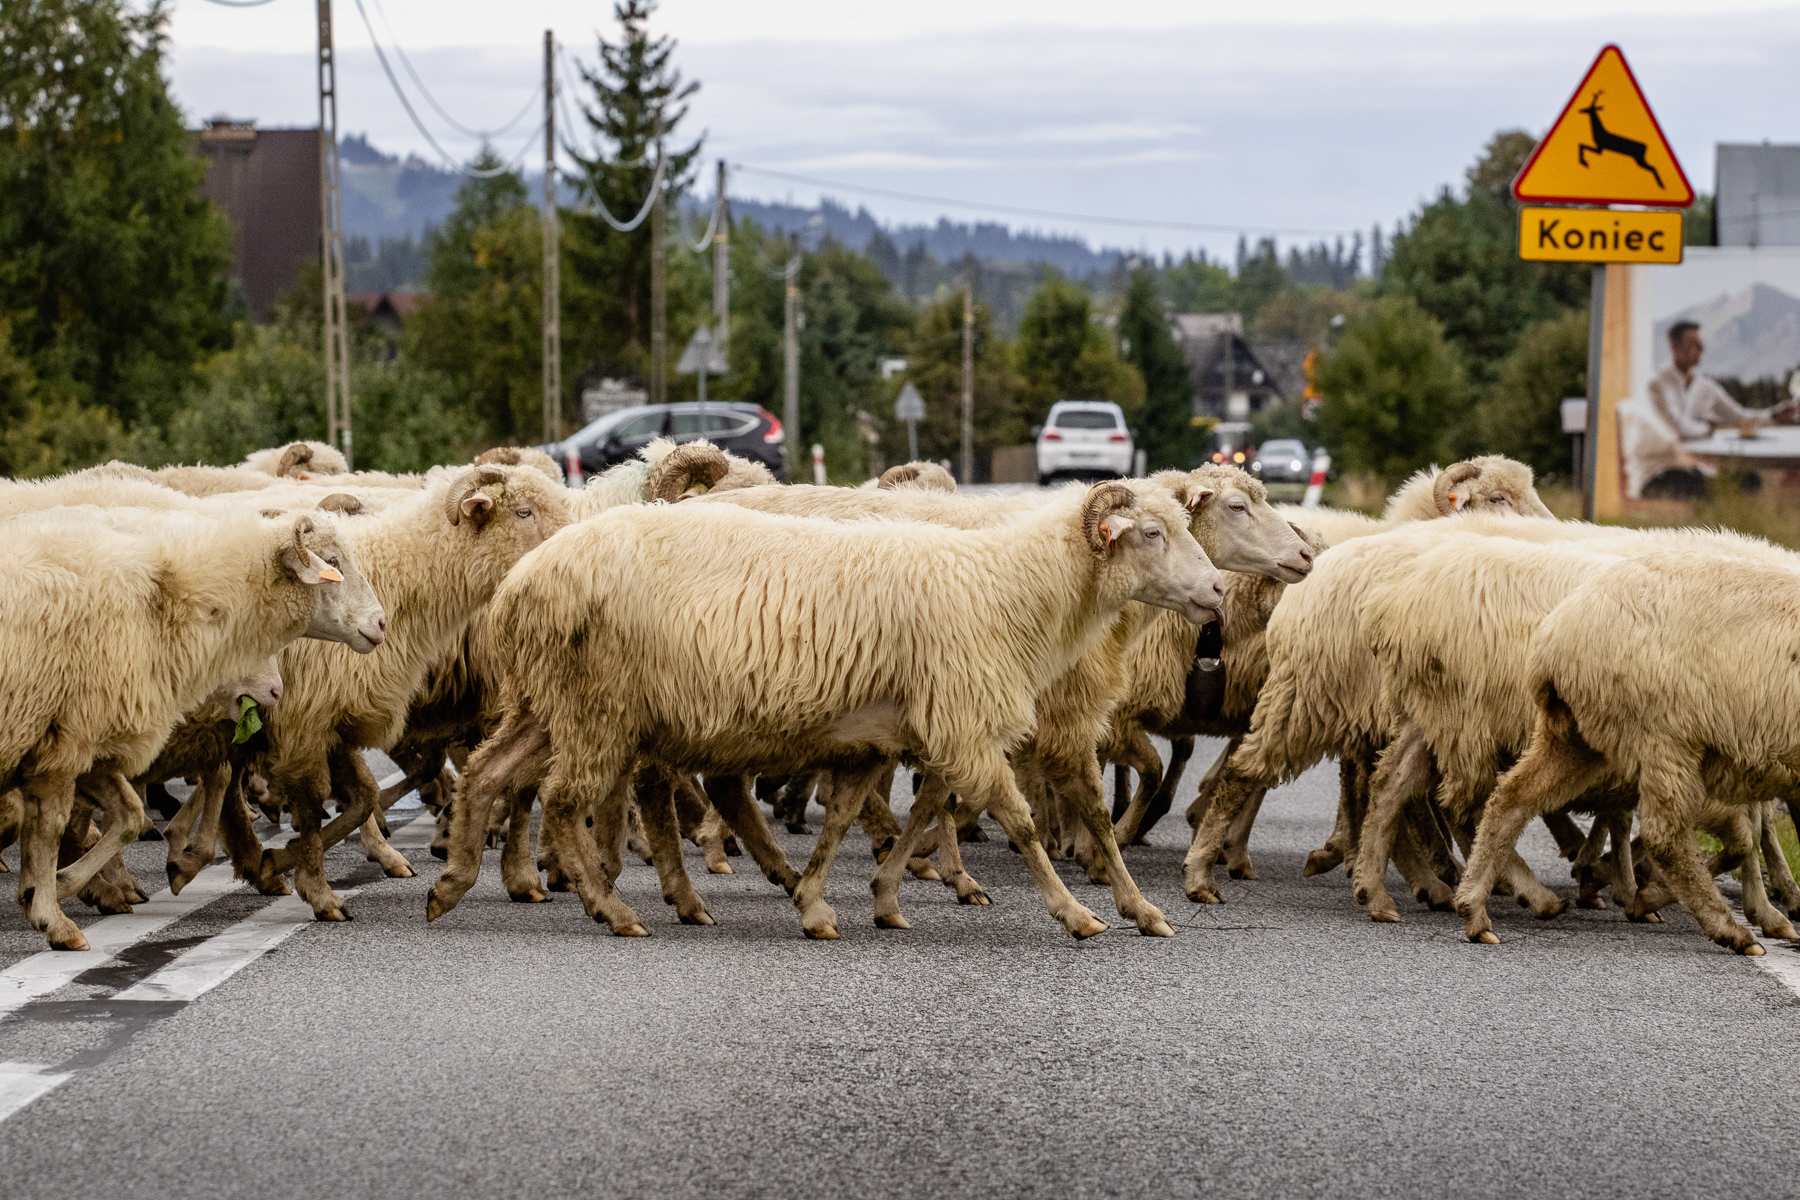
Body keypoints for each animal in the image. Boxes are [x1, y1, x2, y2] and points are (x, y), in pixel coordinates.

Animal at [0, 504, 383, 949]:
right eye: (333, 563)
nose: (382, 623)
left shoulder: (83, 745)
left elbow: (132, 813)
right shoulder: (68, 742)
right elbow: (52, 828)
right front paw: (54, 911)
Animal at [427, 482, 1223, 939]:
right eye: (1153, 534)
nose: (1217, 591)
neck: (1005, 588)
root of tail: (521, 581)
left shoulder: (879, 732)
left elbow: (847, 818)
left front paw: (821, 901)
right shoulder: (963, 723)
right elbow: (1023, 825)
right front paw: (1082, 914)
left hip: (554, 703)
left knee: (488, 773)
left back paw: (454, 883)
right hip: (601, 707)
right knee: (565, 801)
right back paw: (611, 909)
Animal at [1455, 547, 1800, 954]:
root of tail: (1558, 631)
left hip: (1575, 734)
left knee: (1510, 798)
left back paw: (1476, 909)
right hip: (1662, 735)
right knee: (1664, 835)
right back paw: (1719, 925)